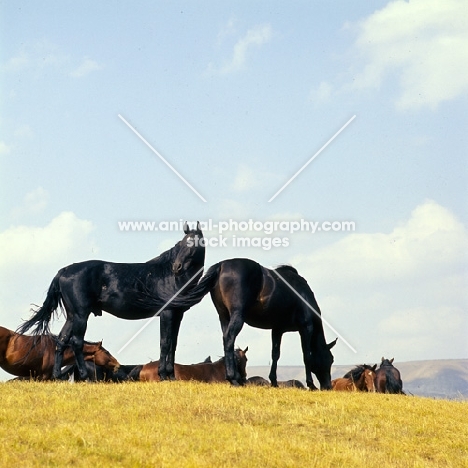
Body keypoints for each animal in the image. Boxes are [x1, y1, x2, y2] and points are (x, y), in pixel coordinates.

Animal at [18, 223, 205, 380]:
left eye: (193, 243)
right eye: (181, 244)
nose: (177, 267)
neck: (168, 276)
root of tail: (64, 271)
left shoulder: (177, 314)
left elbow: (173, 343)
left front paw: (171, 376)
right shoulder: (167, 313)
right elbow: (165, 343)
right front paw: (163, 375)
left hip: (72, 315)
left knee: (63, 340)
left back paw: (57, 375)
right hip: (80, 315)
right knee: (77, 341)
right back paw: (84, 376)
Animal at [154, 258, 336, 390]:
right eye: (330, 359)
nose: (327, 386)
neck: (303, 296)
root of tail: (221, 266)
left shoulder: (277, 329)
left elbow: (275, 354)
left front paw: (274, 381)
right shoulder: (306, 328)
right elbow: (307, 356)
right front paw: (311, 384)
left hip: (224, 316)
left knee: (226, 340)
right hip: (236, 316)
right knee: (229, 339)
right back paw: (233, 378)